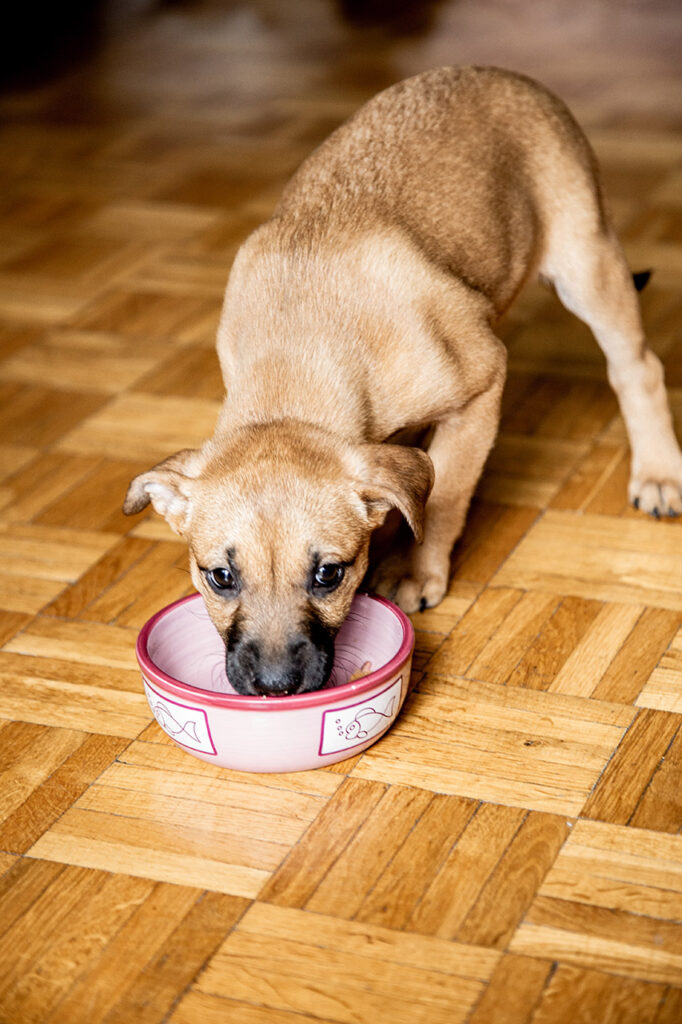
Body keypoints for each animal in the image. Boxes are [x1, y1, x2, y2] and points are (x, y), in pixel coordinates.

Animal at [124, 66, 682, 697]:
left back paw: (659, 473)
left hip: (586, 263)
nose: (275, 687)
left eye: (329, 574)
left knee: (637, 367)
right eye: (219, 576)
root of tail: (501, 74)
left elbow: (444, 493)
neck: (297, 354)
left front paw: (417, 570)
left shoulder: (482, 382)